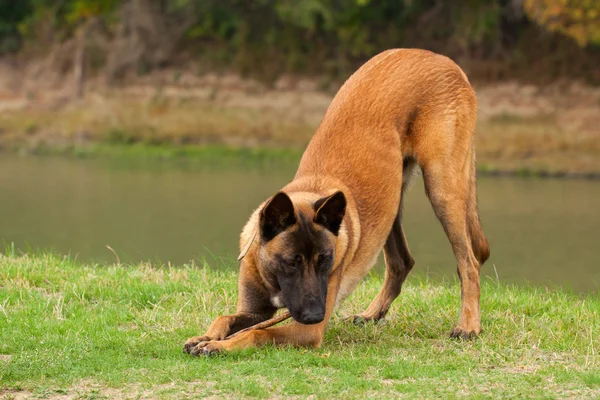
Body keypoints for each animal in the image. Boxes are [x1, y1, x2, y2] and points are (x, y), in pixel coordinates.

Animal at [182, 48, 488, 354]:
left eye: (325, 259)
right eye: (291, 262)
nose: (316, 315)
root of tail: (439, 58)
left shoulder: (307, 331)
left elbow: (257, 333)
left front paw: (219, 345)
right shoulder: (254, 311)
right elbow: (224, 318)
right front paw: (205, 336)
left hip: (442, 188)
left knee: (469, 264)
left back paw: (468, 326)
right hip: (391, 204)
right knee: (402, 262)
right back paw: (371, 314)